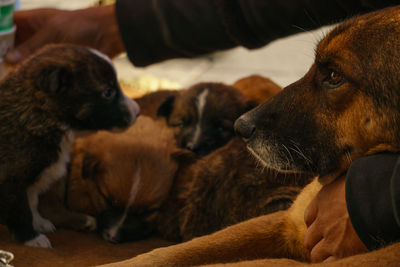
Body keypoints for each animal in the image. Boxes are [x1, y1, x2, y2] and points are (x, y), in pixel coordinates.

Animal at [0, 44, 141, 249]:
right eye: (108, 92)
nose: (138, 111)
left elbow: (32, 201)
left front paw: (39, 222)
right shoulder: (12, 178)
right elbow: (21, 210)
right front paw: (32, 238)